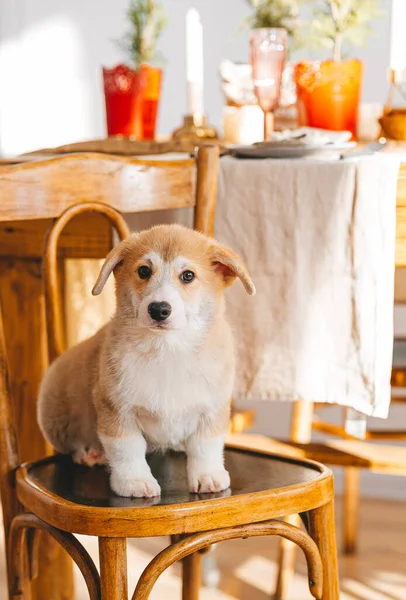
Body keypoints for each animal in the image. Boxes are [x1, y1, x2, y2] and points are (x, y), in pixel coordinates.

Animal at [37, 225, 254, 496]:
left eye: (188, 276)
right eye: (144, 271)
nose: (159, 309)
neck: (167, 349)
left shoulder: (212, 409)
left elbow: (206, 447)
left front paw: (208, 476)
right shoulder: (116, 410)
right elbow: (127, 451)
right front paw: (134, 482)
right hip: (56, 417)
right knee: (70, 445)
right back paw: (89, 453)